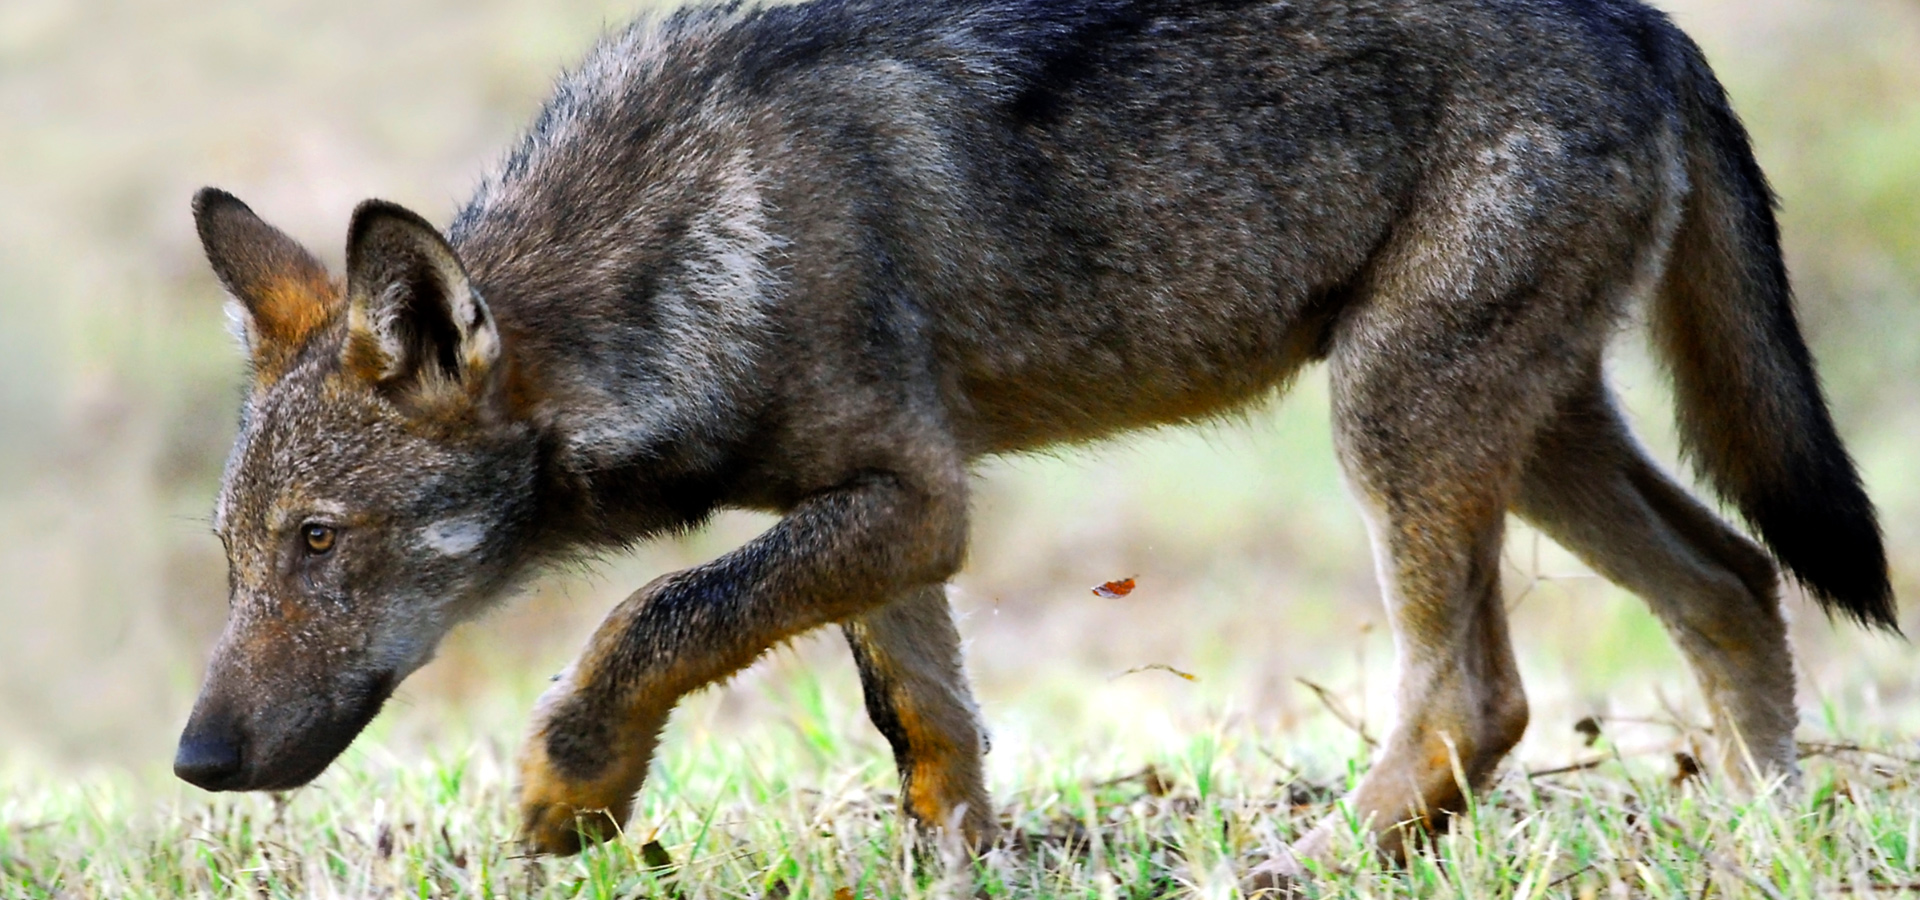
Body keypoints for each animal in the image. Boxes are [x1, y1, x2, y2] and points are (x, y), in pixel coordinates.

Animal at [175, 0, 1894, 878]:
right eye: (235, 560)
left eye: (321, 544)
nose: (195, 761)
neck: (683, 242)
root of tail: (1652, 23)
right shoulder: (891, 512)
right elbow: (927, 727)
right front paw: (971, 864)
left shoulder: (917, 499)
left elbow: (653, 613)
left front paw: (569, 793)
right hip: (1521, 439)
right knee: (1731, 583)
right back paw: (1775, 834)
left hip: (1395, 426)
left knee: (1480, 698)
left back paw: (1311, 865)